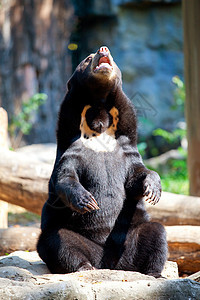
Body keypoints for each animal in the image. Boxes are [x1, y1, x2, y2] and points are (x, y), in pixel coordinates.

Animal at [37, 45, 167, 278]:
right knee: (57, 242)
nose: (103, 48)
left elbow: (137, 174)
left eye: (112, 56)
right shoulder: (72, 149)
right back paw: (84, 267)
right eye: (88, 58)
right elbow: (65, 177)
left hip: (130, 235)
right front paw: (87, 200)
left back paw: (153, 273)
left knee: (156, 233)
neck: (99, 119)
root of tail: (111, 263)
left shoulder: (125, 148)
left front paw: (152, 190)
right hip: (71, 236)